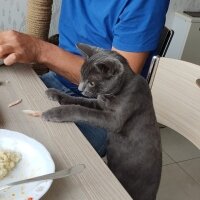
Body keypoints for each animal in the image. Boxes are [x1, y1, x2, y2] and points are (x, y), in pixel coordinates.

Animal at [41, 43, 161, 199]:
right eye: (81, 75)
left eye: (92, 83)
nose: (80, 88)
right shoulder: (98, 103)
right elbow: (79, 100)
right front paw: (55, 93)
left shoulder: (114, 120)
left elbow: (81, 110)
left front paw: (55, 113)